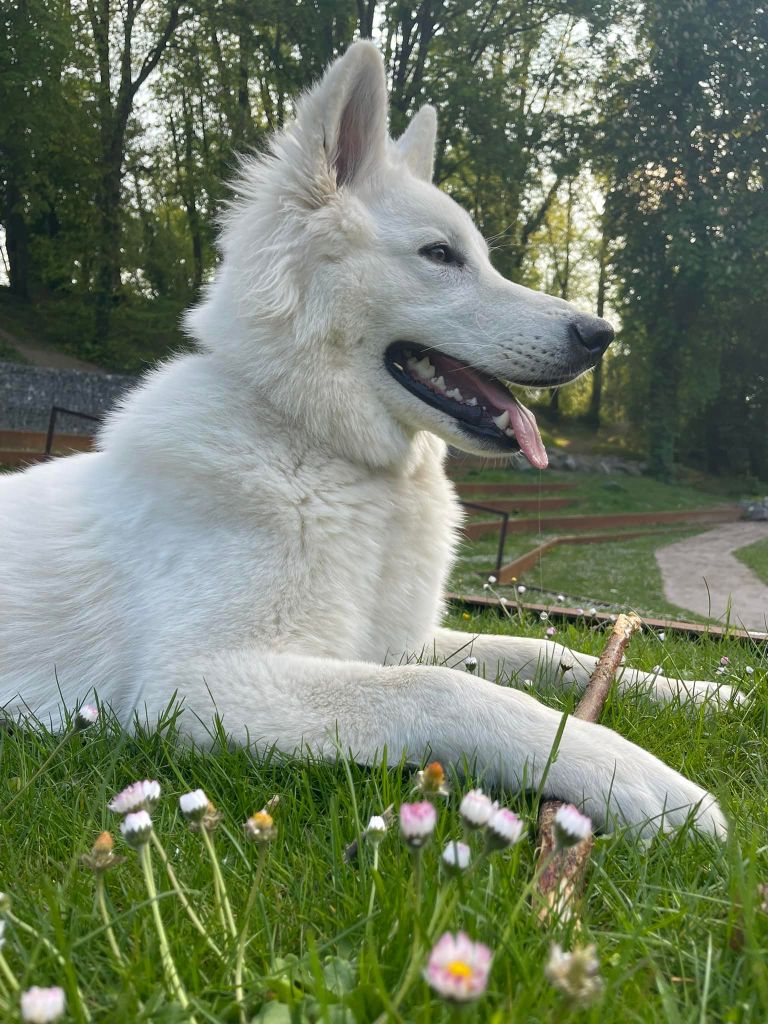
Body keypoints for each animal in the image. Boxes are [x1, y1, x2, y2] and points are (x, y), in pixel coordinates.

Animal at [0, 44, 733, 835]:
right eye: (440, 255)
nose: (601, 335)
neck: (325, 453)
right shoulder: (197, 684)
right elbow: (444, 689)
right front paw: (634, 774)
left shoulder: (399, 641)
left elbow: (548, 649)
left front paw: (696, 692)